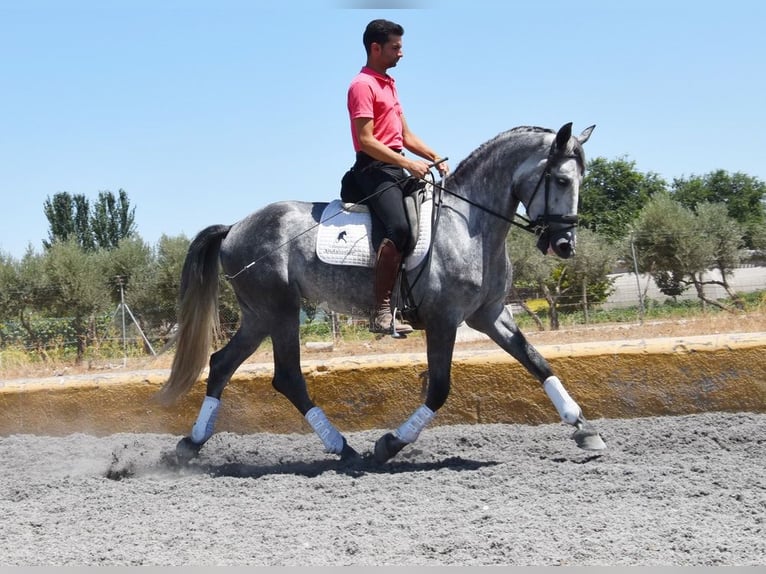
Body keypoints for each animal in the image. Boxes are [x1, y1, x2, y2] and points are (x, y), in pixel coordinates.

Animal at [159, 124, 608, 466]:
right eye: (562, 180)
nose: (565, 245)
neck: (469, 226)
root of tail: (234, 227)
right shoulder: (444, 320)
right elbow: (439, 388)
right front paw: (389, 444)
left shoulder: (490, 314)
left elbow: (537, 362)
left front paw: (584, 429)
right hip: (280, 310)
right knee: (287, 377)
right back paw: (343, 449)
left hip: (258, 315)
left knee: (221, 365)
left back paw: (190, 445)